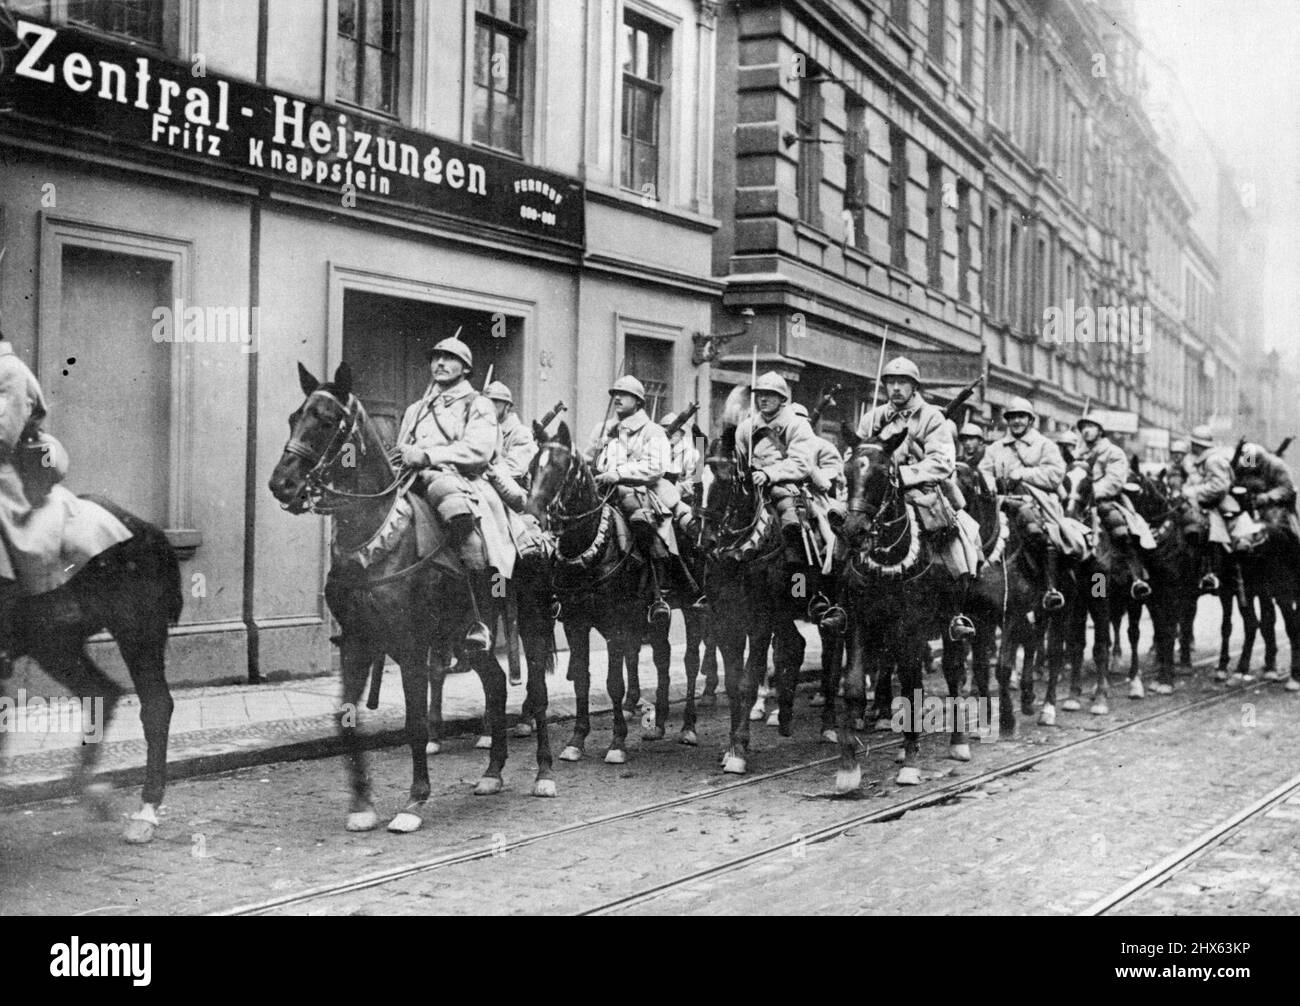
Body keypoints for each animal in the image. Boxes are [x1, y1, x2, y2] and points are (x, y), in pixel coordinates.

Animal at [2, 496, 182, 842]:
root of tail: (146, 528)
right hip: (53, 643)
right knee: (102, 692)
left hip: (136, 629)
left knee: (155, 705)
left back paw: (145, 812)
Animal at [269, 361, 553, 837]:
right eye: (294, 417)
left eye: (326, 420)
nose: (282, 484)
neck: (375, 538)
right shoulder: (358, 643)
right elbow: (346, 718)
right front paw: (362, 805)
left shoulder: (411, 646)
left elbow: (415, 723)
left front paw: (414, 801)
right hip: (465, 637)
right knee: (496, 684)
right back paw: (492, 774)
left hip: (530, 626)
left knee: (537, 690)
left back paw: (545, 774)